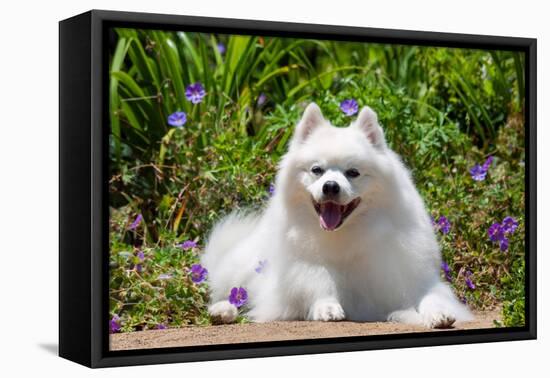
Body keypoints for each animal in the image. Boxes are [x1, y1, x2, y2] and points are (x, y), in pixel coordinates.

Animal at [203, 102, 474, 328]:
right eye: (317, 170)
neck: (346, 233)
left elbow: (431, 297)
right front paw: (327, 306)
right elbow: (318, 282)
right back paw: (223, 310)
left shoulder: (408, 276)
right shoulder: (305, 270)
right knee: (232, 292)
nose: (331, 186)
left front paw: (438, 314)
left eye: (353, 172)